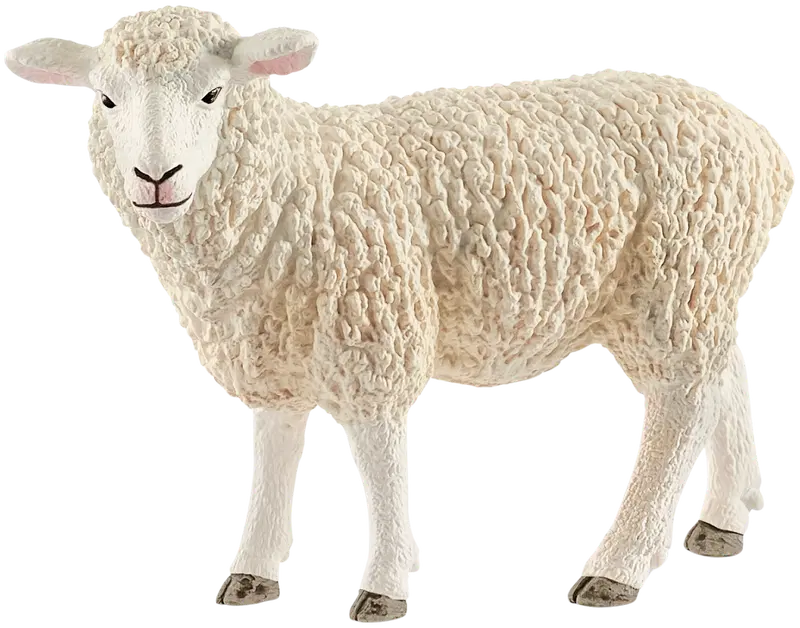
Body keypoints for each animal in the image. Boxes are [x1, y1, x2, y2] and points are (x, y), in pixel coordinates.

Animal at [4, 5, 794, 618]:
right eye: (107, 100)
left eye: (211, 94)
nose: (155, 177)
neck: (298, 180)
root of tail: (757, 135)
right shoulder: (273, 337)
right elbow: (274, 448)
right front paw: (252, 574)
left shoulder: (374, 319)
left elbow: (382, 457)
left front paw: (383, 589)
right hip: (704, 278)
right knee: (726, 375)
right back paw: (726, 524)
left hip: (672, 274)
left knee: (680, 404)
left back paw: (618, 566)